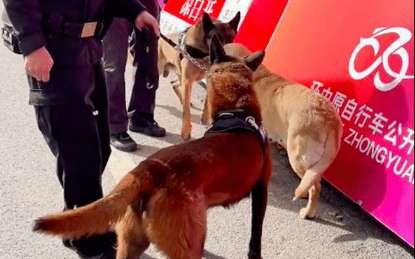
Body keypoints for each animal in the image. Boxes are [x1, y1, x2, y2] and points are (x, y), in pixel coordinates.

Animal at [34, 37, 272, 259]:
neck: (237, 110)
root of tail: (148, 170)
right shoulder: (261, 189)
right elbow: (256, 234)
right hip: (184, 248)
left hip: (132, 243)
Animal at [160, 12, 244, 140]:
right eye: (217, 38)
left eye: (231, 39)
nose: (228, 56)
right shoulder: (188, 81)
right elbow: (186, 111)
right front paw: (186, 130)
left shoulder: (208, 78)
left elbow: (206, 100)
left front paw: (205, 117)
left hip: (181, 76)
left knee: (174, 84)